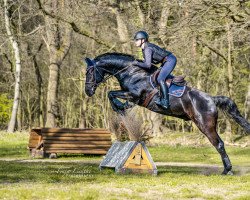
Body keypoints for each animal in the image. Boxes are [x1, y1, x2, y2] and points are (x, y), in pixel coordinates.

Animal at [84, 52, 250, 175]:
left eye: (90, 72)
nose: (88, 91)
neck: (131, 72)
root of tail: (211, 99)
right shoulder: (131, 96)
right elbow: (112, 94)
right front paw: (122, 107)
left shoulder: (135, 95)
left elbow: (111, 94)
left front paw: (119, 107)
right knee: (219, 144)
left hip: (205, 125)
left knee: (219, 144)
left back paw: (227, 170)